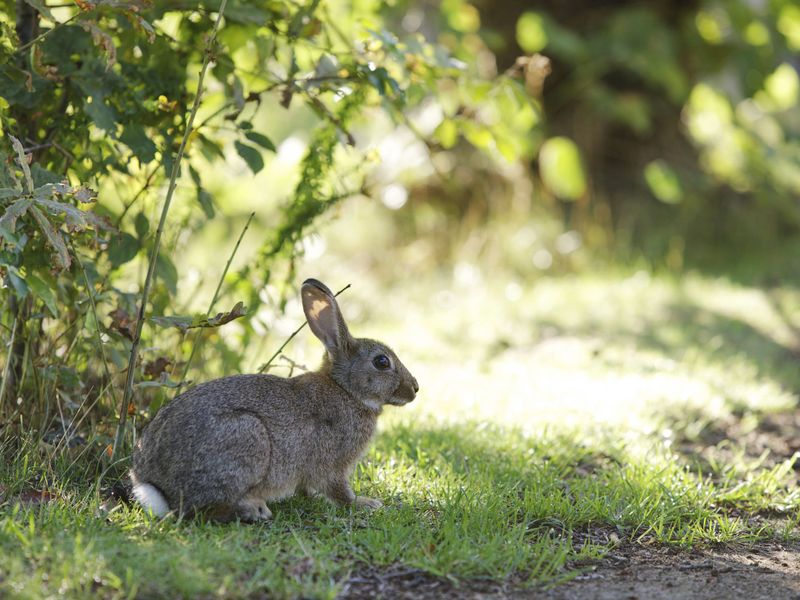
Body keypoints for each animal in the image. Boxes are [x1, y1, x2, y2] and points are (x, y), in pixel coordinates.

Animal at [131, 278, 418, 524]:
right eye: (381, 362)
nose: (415, 388)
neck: (346, 389)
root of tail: (153, 483)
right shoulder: (333, 464)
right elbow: (338, 491)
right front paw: (366, 504)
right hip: (247, 436)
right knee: (201, 510)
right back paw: (254, 510)